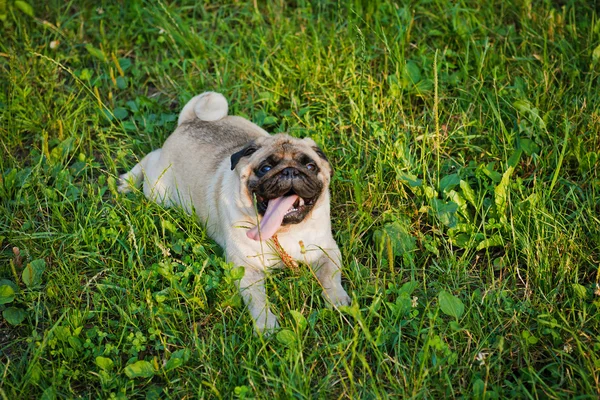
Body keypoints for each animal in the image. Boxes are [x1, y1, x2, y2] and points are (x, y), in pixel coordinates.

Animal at [117, 92, 350, 332]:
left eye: (311, 167)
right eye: (265, 168)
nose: (290, 171)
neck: (283, 233)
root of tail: (190, 121)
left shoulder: (327, 250)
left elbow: (331, 277)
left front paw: (337, 301)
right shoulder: (246, 268)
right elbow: (258, 300)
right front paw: (266, 326)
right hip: (158, 191)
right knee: (150, 159)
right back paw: (127, 181)